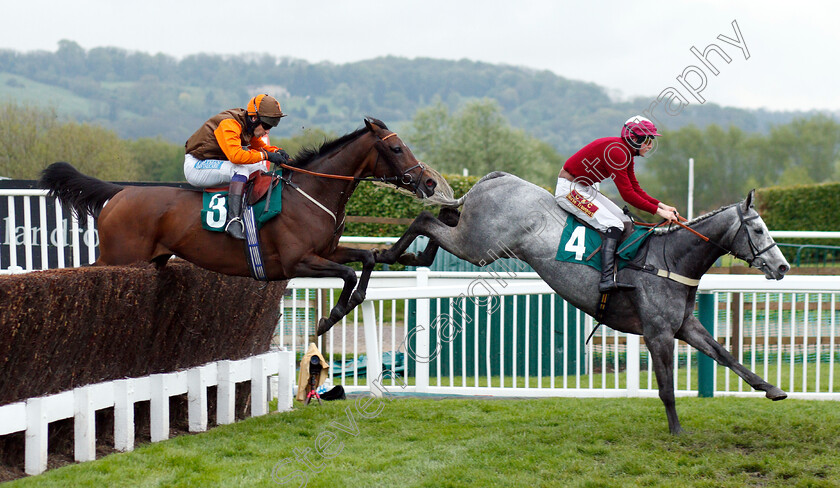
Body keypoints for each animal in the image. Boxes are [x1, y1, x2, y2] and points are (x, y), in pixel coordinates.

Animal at [39, 116, 452, 334]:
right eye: (396, 148)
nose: (429, 182)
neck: (309, 192)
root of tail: (120, 192)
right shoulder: (297, 261)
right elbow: (349, 273)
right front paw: (329, 318)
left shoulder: (328, 250)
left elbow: (365, 260)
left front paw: (345, 306)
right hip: (121, 257)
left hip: (151, 260)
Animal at [370, 171, 792, 434]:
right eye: (757, 229)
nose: (782, 266)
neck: (670, 259)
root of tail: (497, 178)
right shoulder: (657, 333)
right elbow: (667, 387)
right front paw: (676, 431)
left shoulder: (684, 326)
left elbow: (725, 355)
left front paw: (771, 388)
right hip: (479, 247)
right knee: (425, 219)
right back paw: (386, 254)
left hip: (473, 239)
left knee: (440, 217)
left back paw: (413, 256)